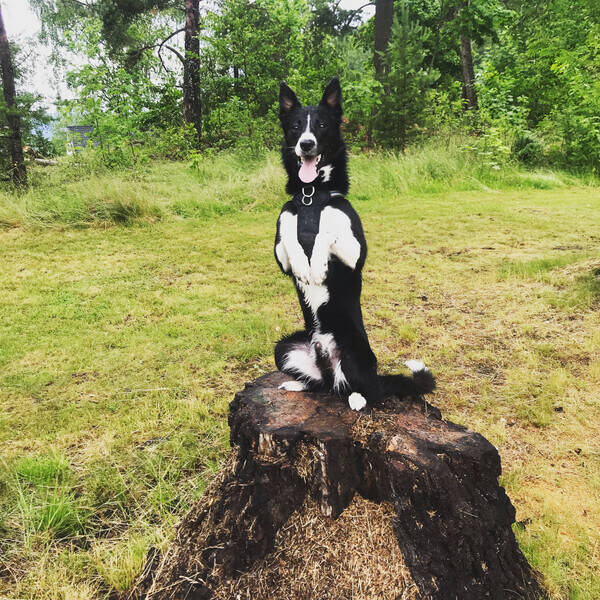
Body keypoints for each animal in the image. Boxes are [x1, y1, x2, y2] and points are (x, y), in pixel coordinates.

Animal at [274, 77, 436, 410]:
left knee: (369, 391)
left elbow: (326, 231)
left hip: (355, 353)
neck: (312, 195)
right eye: (296, 127)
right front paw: (304, 265)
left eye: (322, 125)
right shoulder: (281, 251)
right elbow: (289, 234)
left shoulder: (355, 250)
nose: (306, 144)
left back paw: (358, 399)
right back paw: (299, 384)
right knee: (322, 385)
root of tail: (326, 361)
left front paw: (317, 265)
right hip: (285, 347)